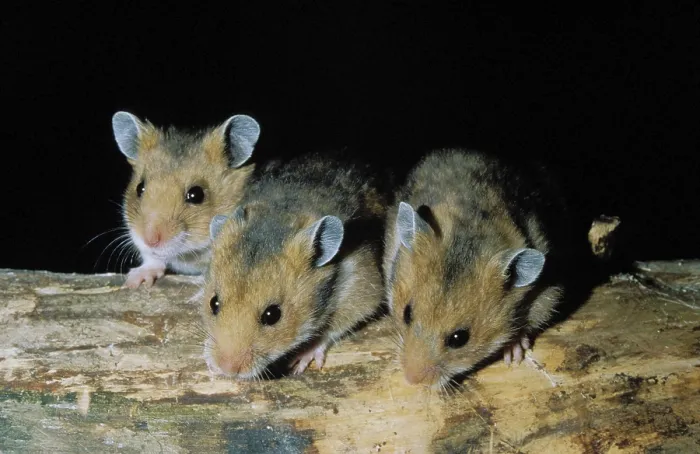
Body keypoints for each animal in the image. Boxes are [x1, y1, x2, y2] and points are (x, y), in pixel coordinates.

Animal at [111, 111, 260, 288]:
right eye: (140, 188)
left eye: (196, 194)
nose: (150, 241)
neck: (190, 253)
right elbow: (152, 259)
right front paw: (134, 281)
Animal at [199, 153, 388, 379]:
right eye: (213, 303)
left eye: (273, 315)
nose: (227, 370)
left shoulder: (362, 290)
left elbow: (330, 330)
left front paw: (299, 362)